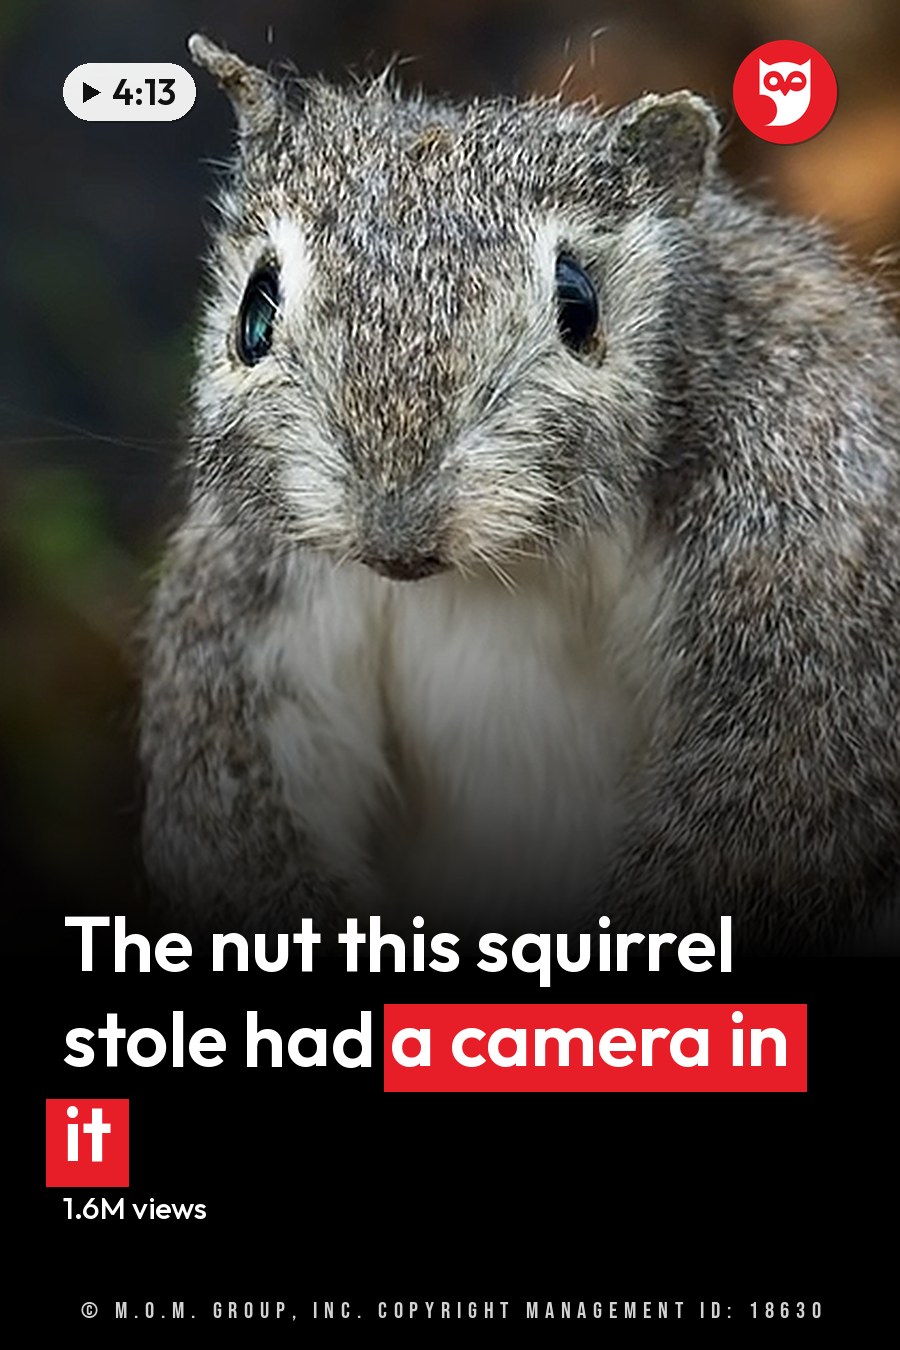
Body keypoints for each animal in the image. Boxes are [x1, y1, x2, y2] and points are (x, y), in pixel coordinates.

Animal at [139, 33, 900, 950]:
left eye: (580, 303)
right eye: (254, 311)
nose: (394, 535)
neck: (516, 566)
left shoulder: (810, 543)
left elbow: (772, 797)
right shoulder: (244, 600)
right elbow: (229, 804)